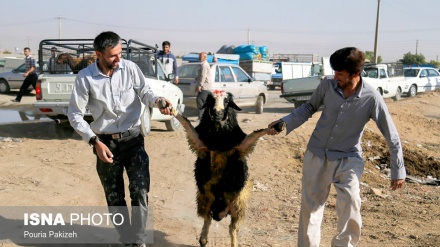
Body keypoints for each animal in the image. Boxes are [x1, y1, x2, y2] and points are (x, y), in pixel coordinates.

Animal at [172, 91, 286, 247]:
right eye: (211, 100)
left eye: (227, 101)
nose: (217, 113)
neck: (219, 139)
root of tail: (220, 212)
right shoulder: (200, 143)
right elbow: (185, 122)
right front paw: (168, 107)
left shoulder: (241, 147)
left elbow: (257, 133)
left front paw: (278, 126)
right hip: (205, 199)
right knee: (208, 219)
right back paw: (203, 239)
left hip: (238, 205)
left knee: (232, 228)